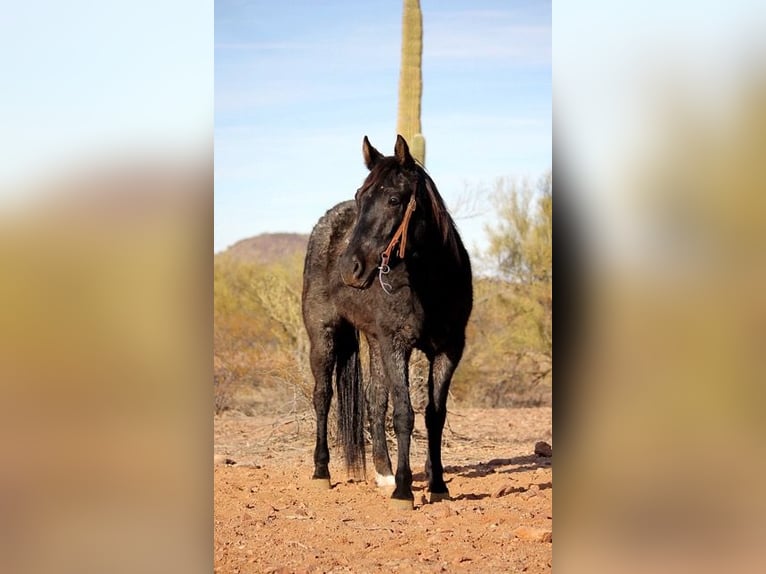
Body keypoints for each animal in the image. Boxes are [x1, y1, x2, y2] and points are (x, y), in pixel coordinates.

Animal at [302, 136, 474, 512]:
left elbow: (434, 415)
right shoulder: (398, 344)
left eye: (394, 199)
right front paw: (404, 491)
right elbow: (404, 414)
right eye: (359, 196)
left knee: (373, 399)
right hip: (323, 335)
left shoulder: (449, 350)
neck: (432, 282)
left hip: (373, 341)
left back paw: (383, 473)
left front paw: (437, 485)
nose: (350, 268)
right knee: (323, 396)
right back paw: (322, 472)